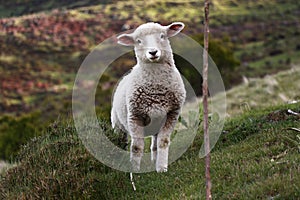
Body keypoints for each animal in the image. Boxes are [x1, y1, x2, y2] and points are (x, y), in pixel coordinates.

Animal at [110, 21, 185, 172]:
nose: (153, 52)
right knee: (121, 142)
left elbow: (163, 142)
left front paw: (161, 168)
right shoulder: (135, 116)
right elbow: (136, 147)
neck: (156, 90)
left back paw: (154, 162)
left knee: (154, 145)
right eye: (138, 41)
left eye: (162, 36)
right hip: (118, 125)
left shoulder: (171, 114)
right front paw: (134, 170)